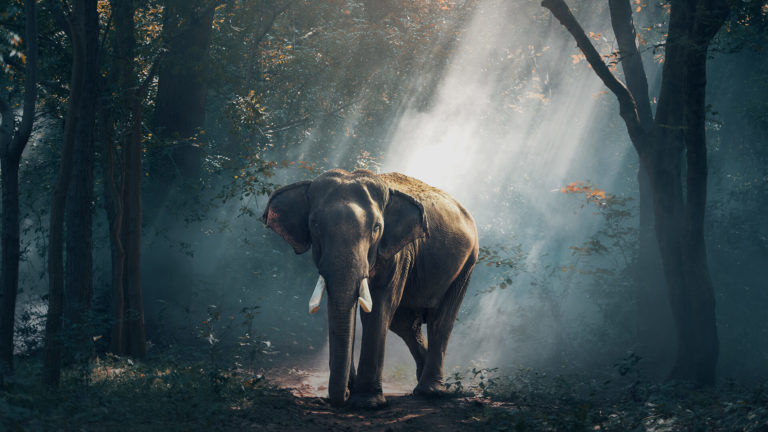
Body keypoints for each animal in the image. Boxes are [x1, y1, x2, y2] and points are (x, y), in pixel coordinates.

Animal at [262, 169, 478, 407]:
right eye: (315, 225)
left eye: (376, 228)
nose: (344, 395)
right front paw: (353, 392)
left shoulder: (398, 254)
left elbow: (379, 308)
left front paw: (367, 403)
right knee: (405, 324)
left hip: (467, 264)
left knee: (440, 320)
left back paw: (430, 392)